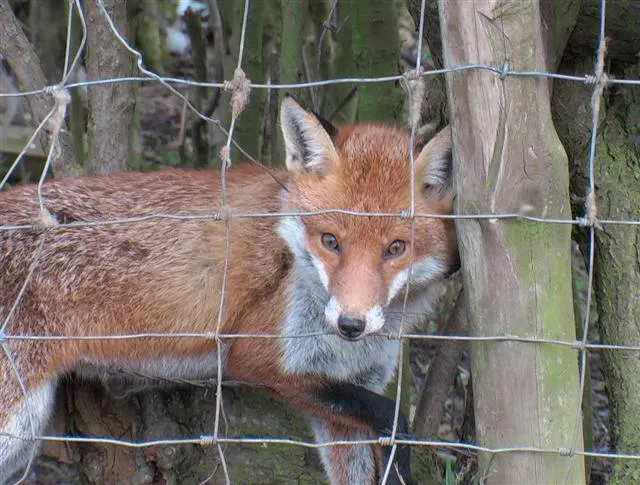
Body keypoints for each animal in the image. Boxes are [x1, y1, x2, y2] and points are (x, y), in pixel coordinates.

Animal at [1, 95, 460, 484]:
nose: (350, 324)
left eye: (396, 248)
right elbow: (393, 414)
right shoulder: (261, 359)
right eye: (330, 240)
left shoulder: (346, 391)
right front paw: (403, 455)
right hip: (17, 421)